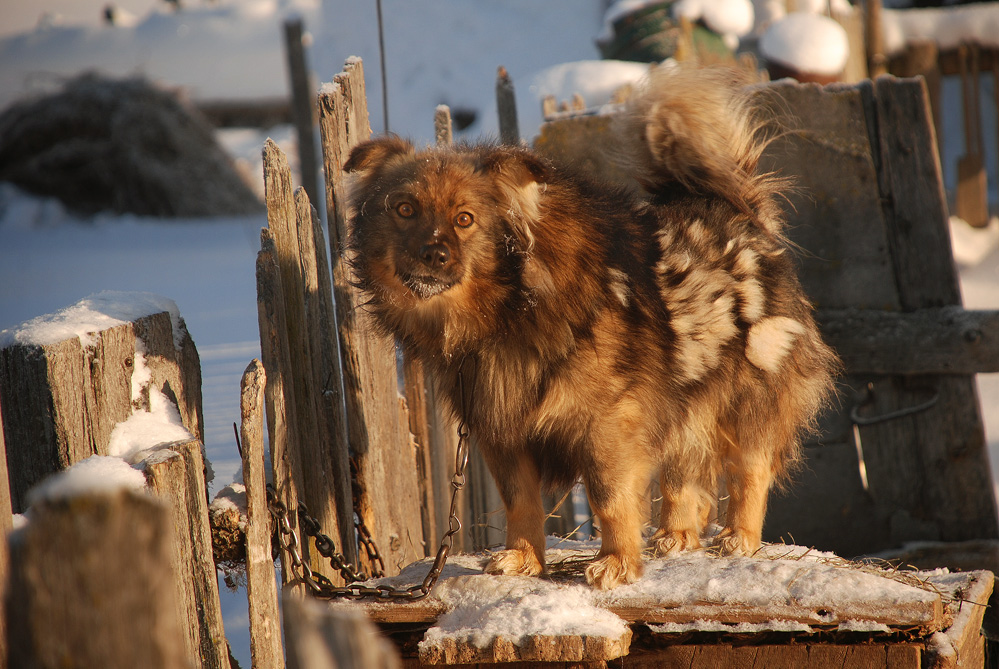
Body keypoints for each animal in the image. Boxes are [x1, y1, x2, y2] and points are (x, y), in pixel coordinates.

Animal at [344, 65, 836, 588]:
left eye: (465, 219)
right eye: (404, 209)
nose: (433, 254)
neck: (510, 309)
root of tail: (739, 213)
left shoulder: (606, 425)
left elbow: (609, 497)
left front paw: (616, 562)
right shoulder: (502, 428)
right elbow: (521, 500)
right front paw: (523, 558)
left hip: (748, 395)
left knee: (749, 471)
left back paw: (738, 537)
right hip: (684, 397)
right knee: (685, 472)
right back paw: (676, 535)